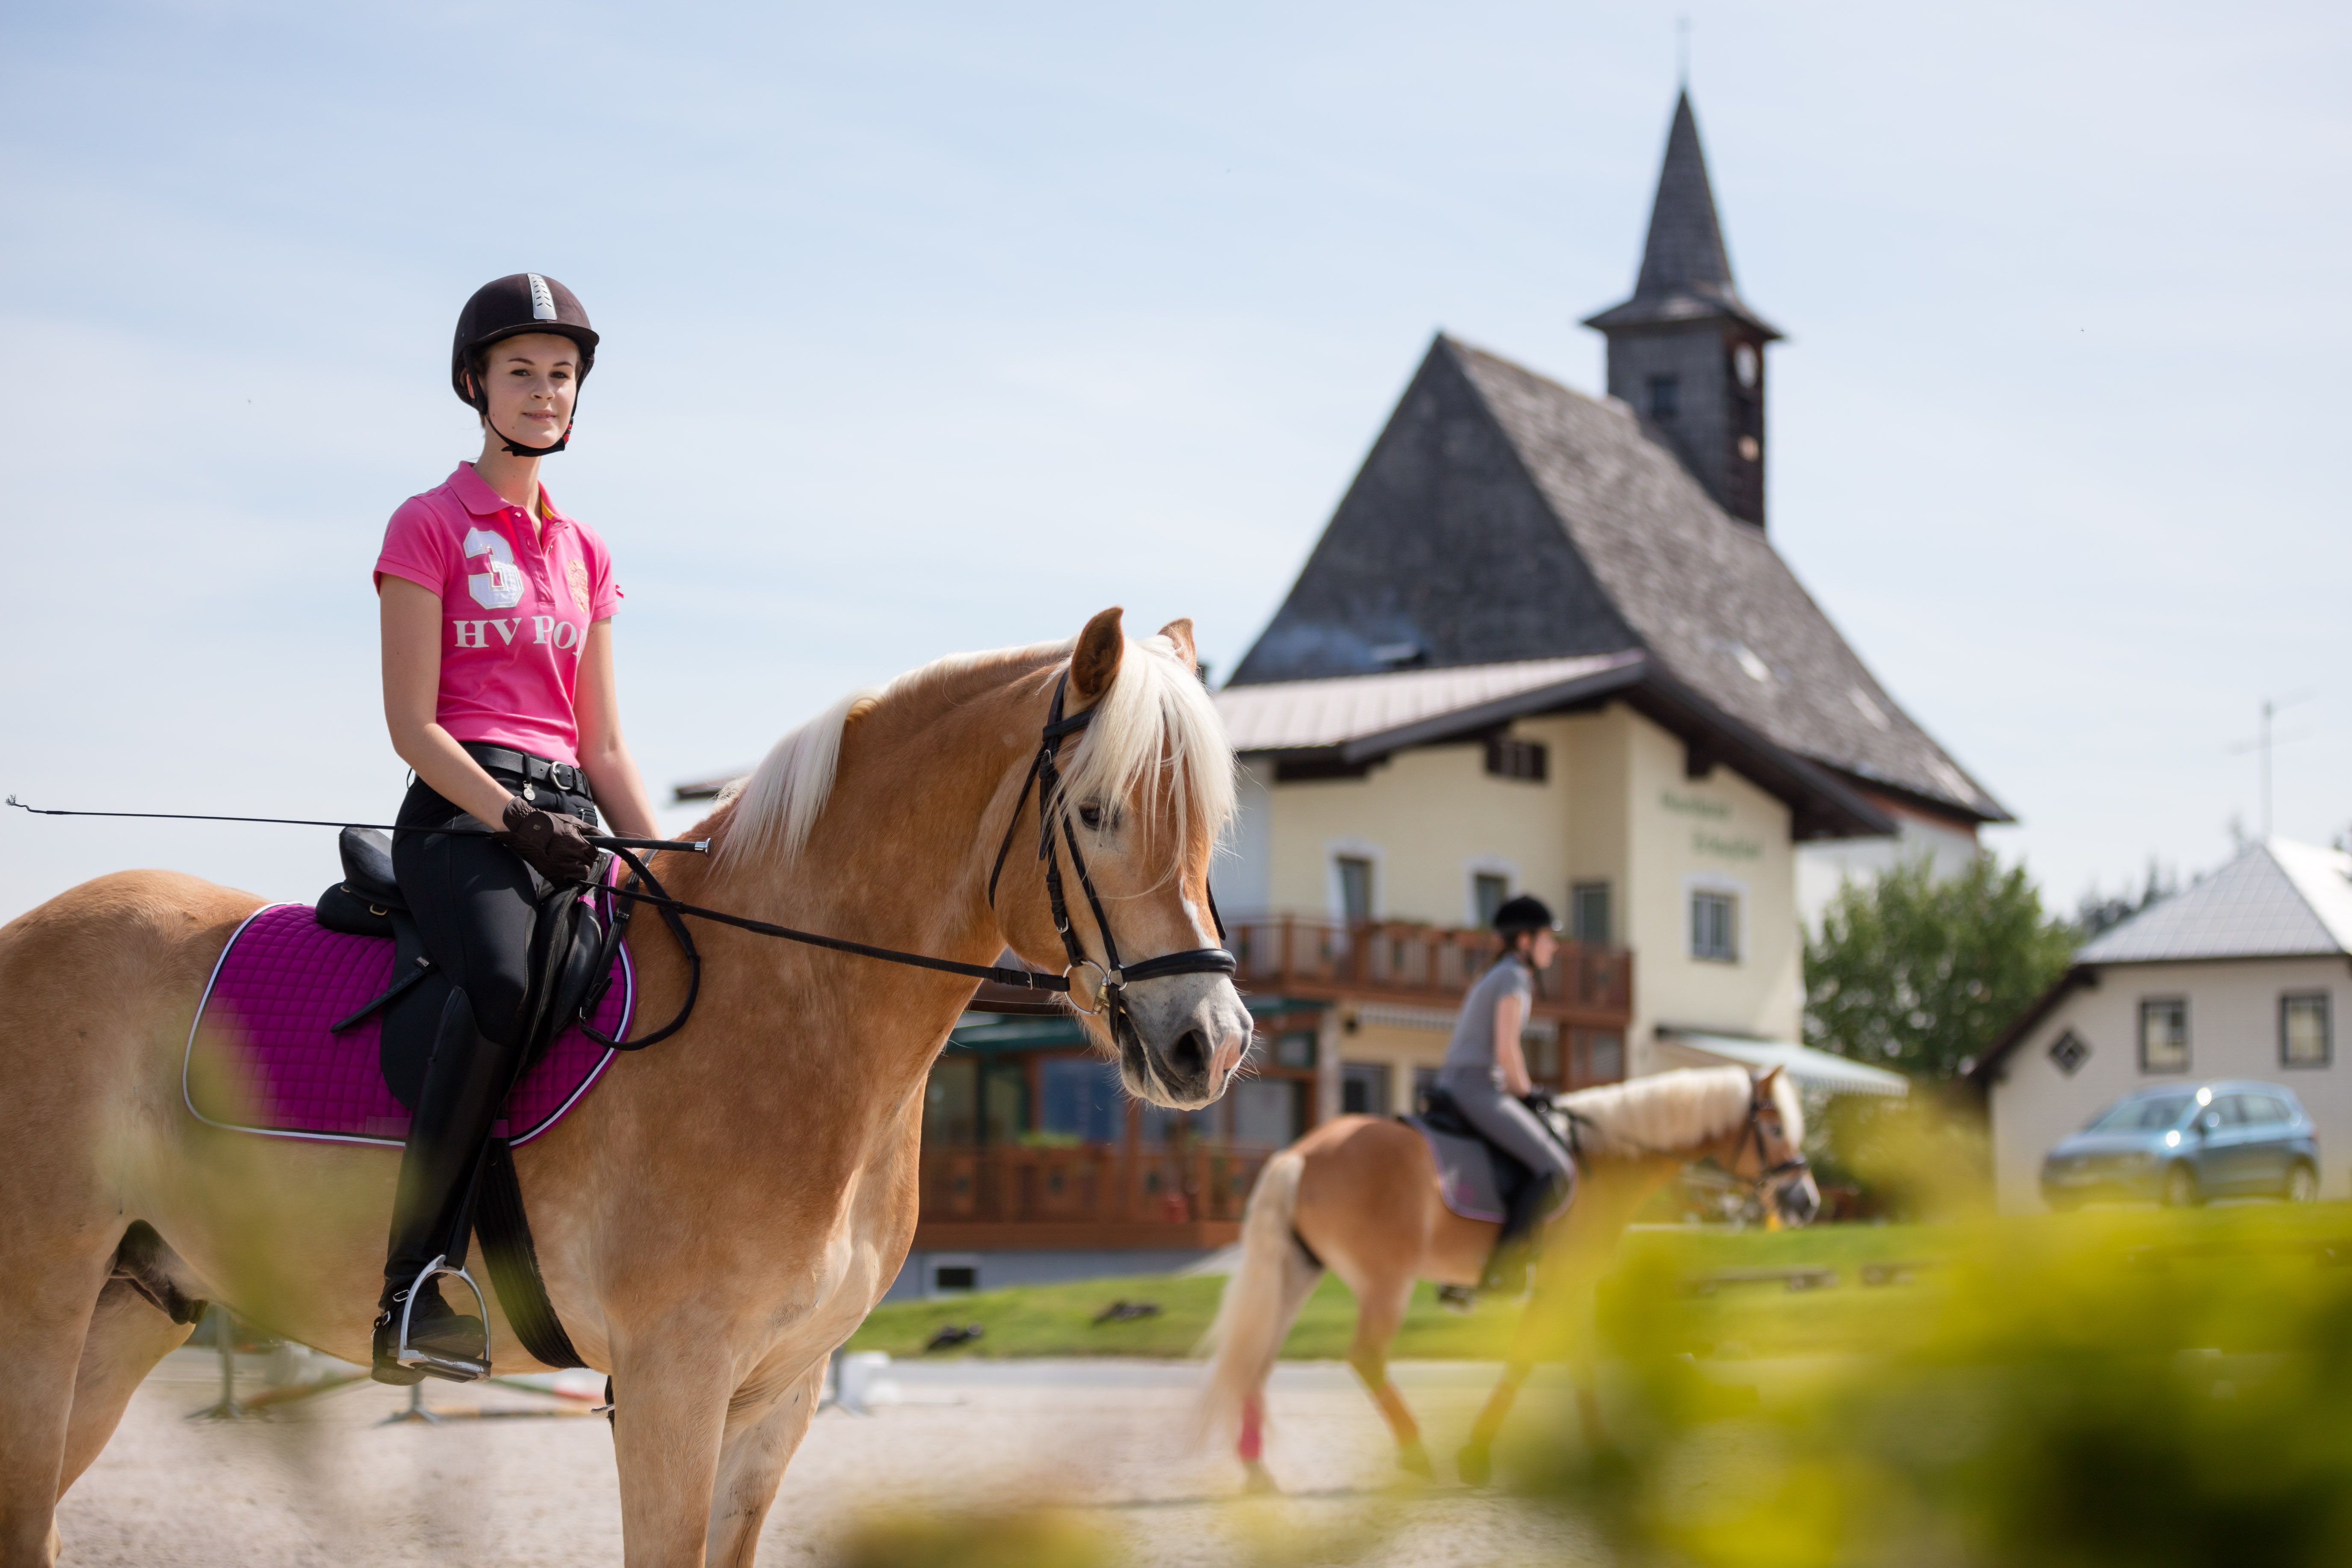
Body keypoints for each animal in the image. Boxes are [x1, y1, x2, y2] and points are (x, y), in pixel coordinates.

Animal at [0, 607, 1248, 1568]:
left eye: (1208, 826)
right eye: (1095, 813)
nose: (1213, 1042)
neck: (788, 1010)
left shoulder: (777, 1394)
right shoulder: (669, 1382)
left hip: (131, 1305)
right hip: (46, 1305)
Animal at [1194, 1064, 1817, 1489]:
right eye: (1775, 1127)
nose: (1806, 1201)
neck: (1604, 1158)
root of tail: (1303, 1151)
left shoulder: (1572, 1284)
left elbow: (1578, 1360)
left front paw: (1601, 1450)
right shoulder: (1561, 1280)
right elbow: (1528, 1357)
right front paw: (1477, 1452)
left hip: (1298, 1272)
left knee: (1260, 1356)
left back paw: (1256, 1468)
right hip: (1386, 1283)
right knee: (1365, 1357)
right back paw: (1415, 1452)